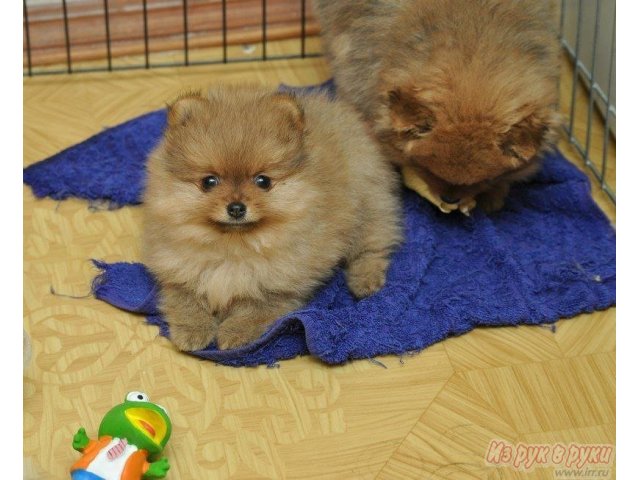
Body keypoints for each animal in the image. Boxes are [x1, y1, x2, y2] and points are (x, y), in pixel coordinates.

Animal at [143, 84, 402, 350]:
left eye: (263, 181)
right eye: (209, 182)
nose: (236, 207)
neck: (233, 247)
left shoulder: (279, 283)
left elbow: (256, 307)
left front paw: (235, 332)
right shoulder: (179, 268)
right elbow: (185, 298)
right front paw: (192, 330)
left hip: (368, 207)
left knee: (373, 246)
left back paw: (365, 281)